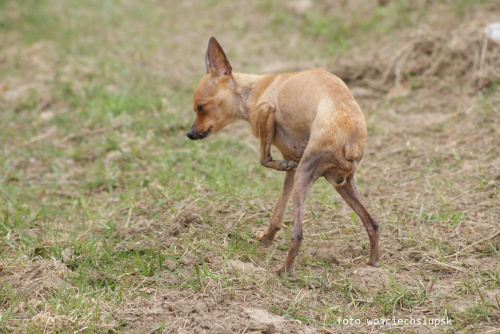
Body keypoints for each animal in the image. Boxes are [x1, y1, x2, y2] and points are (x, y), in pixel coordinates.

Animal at [188, 37, 378, 276]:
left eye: (200, 108)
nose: (190, 134)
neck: (252, 91)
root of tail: (351, 137)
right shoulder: (292, 168)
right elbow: (278, 211)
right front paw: (267, 237)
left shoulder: (267, 111)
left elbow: (263, 159)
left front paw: (277, 164)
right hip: (341, 184)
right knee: (372, 223)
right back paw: (373, 264)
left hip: (305, 177)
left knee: (298, 234)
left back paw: (283, 271)